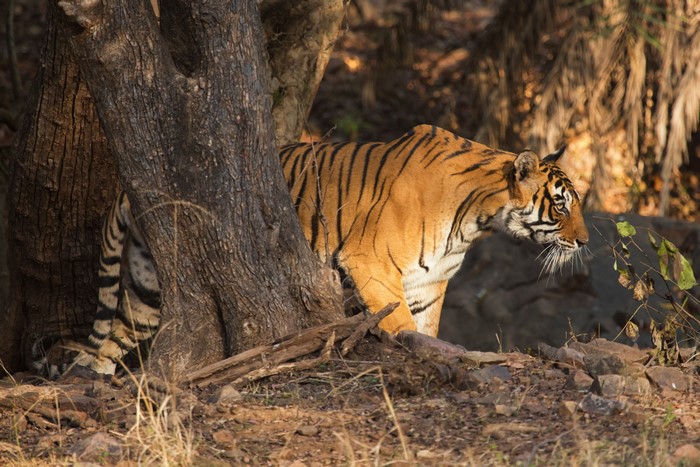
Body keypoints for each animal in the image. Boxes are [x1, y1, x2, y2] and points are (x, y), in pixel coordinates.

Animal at [33, 124, 588, 376]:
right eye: (561, 205)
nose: (584, 242)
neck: (479, 218)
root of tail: (129, 189)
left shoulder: (431, 283)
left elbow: (426, 326)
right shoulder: (372, 265)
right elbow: (399, 324)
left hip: (149, 288)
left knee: (111, 339)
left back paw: (97, 382)